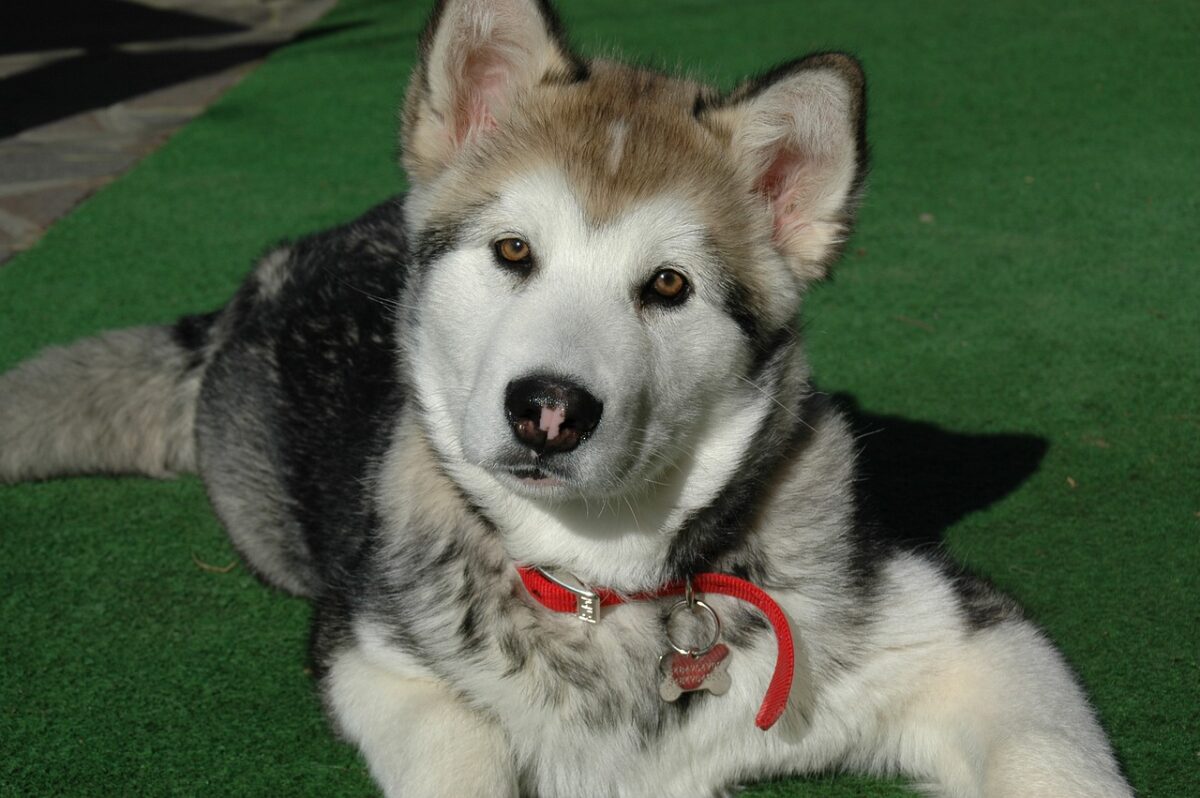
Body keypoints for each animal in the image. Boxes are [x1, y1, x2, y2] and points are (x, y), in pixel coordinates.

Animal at [0, 1, 1132, 796]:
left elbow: (1055, 761)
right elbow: (460, 749)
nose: (547, 408)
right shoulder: (368, 650)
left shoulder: (963, 633)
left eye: (668, 286)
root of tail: (274, 270)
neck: (606, 585)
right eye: (513, 252)